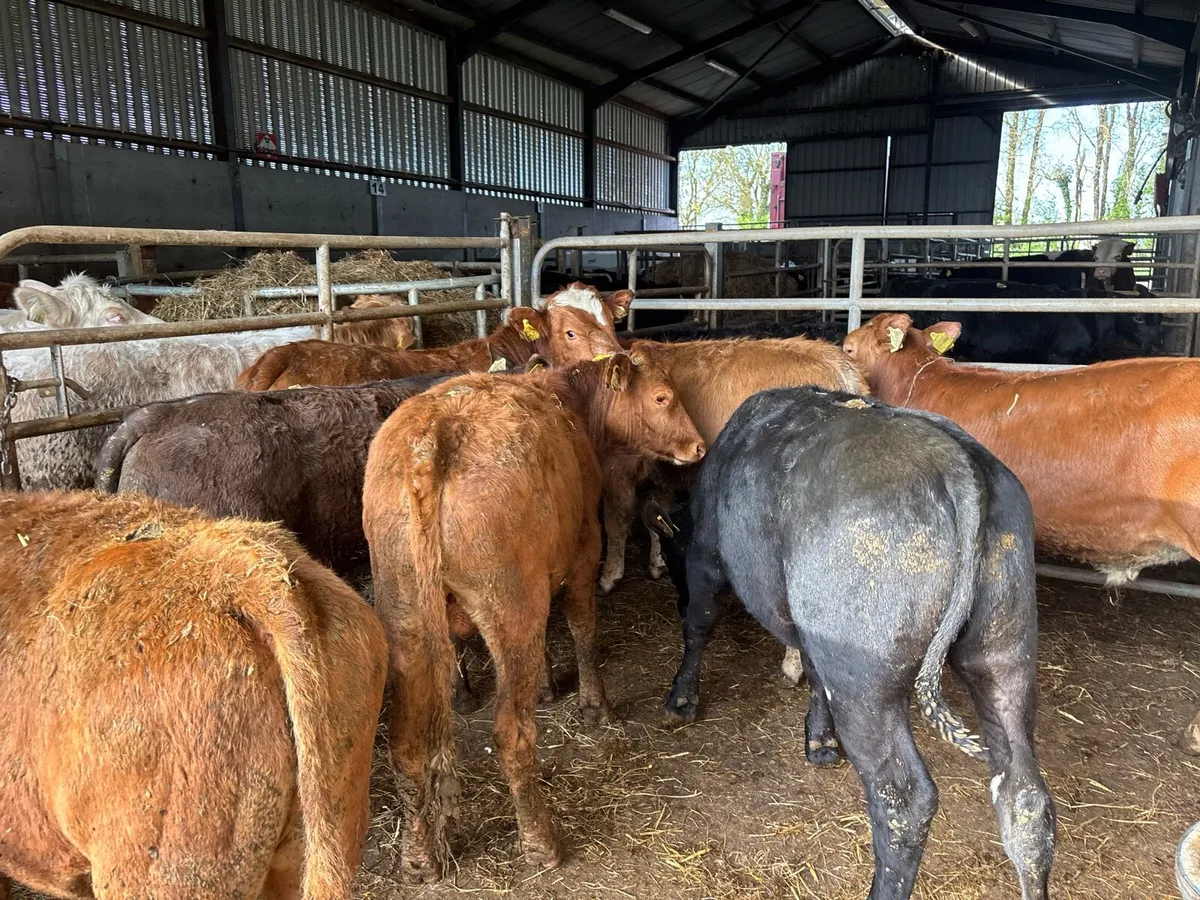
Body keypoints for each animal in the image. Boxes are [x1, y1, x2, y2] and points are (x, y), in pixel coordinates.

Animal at [361, 353, 705, 881]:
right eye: (663, 396)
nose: (699, 445)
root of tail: (432, 438)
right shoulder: (584, 549)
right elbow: (582, 628)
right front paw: (595, 706)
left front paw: (546, 685)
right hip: (510, 607)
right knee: (511, 733)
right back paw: (541, 842)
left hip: (405, 615)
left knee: (405, 745)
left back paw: (419, 859)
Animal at [650, 386, 1055, 900]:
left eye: (670, 551)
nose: (672, 595)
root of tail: (952, 459)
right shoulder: (810, 627)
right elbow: (811, 670)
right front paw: (819, 739)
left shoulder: (704, 555)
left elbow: (700, 625)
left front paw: (682, 698)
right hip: (1006, 655)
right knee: (1025, 797)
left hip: (864, 683)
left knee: (904, 799)